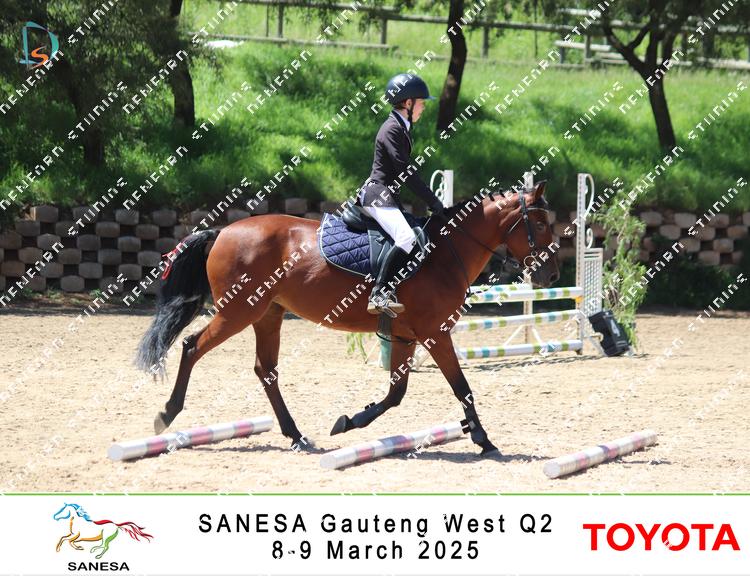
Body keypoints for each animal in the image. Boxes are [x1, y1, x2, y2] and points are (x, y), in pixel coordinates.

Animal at [135, 181, 559, 456]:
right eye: (540, 224)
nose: (552, 276)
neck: (444, 252)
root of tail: (223, 230)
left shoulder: (406, 337)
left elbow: (396, 394)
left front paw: (349, 421)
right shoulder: (436, 333)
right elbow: (462, 387)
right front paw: (484, 439)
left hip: (268, 314)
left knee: (265, 370)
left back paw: (297, 436)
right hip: (239, 312)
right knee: (192, 347)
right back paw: (166, 415)